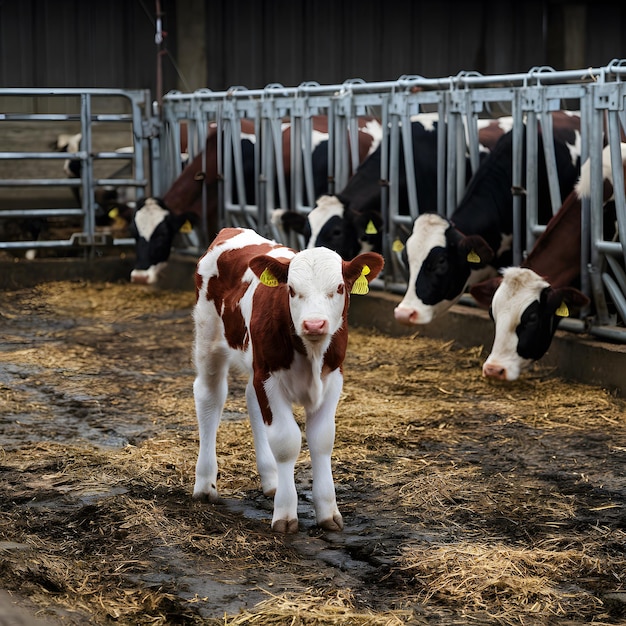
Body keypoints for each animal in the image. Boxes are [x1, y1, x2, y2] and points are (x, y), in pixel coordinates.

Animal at [193, 227, 382, 528]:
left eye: (339, 288)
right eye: (291, 290)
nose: (314, 324)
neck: (311, 353)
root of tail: (232, 230)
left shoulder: (332, 379)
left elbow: (322, 439)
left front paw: (328, 511)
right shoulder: (269, 377)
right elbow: (286, 441)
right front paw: (285, 513)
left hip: (254, 364)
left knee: (251, 401)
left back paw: (271, 481)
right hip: (208, 339)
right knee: (209, 397)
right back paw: (205, 485)